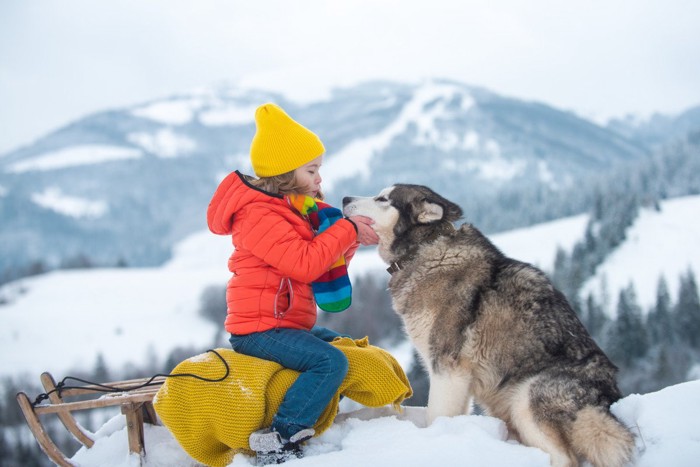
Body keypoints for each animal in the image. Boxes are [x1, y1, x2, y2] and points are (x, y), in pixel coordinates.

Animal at [344, 186, 636, 467]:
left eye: (382, 199)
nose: (345, 198)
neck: (424, 249)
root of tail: (608, 400)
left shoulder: (447, 369)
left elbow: (435, 417)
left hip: (525, 397)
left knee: (565, 458)